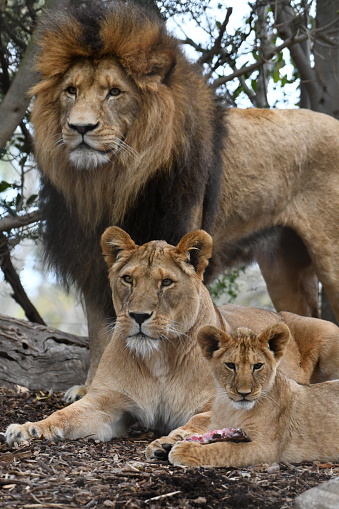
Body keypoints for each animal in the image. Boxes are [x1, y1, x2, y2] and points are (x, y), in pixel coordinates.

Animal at [4, 226, 339, 444]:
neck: (159, 358)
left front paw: (176, 438)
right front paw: (28, 428)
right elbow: (64, 416)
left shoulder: (221, 401)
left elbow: (200, 419)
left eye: (166, 282)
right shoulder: (107, 404)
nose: (139, 316)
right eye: (128, 279)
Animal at [33, 0, 339, 392]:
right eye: (70, 90)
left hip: (330, 253)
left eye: (114, 92)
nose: (79, 127)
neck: (110, 183)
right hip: (283, 266)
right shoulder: (92, 260)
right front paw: (91, 386)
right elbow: (100, 332)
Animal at [149, 324, 339, 466]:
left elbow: (226, 449)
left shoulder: (264, 448)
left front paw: (185, 450)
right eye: (231, 365)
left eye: (258, 366)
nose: (244, 393)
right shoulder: (217, 426)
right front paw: (168, 444)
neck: (231, 409)